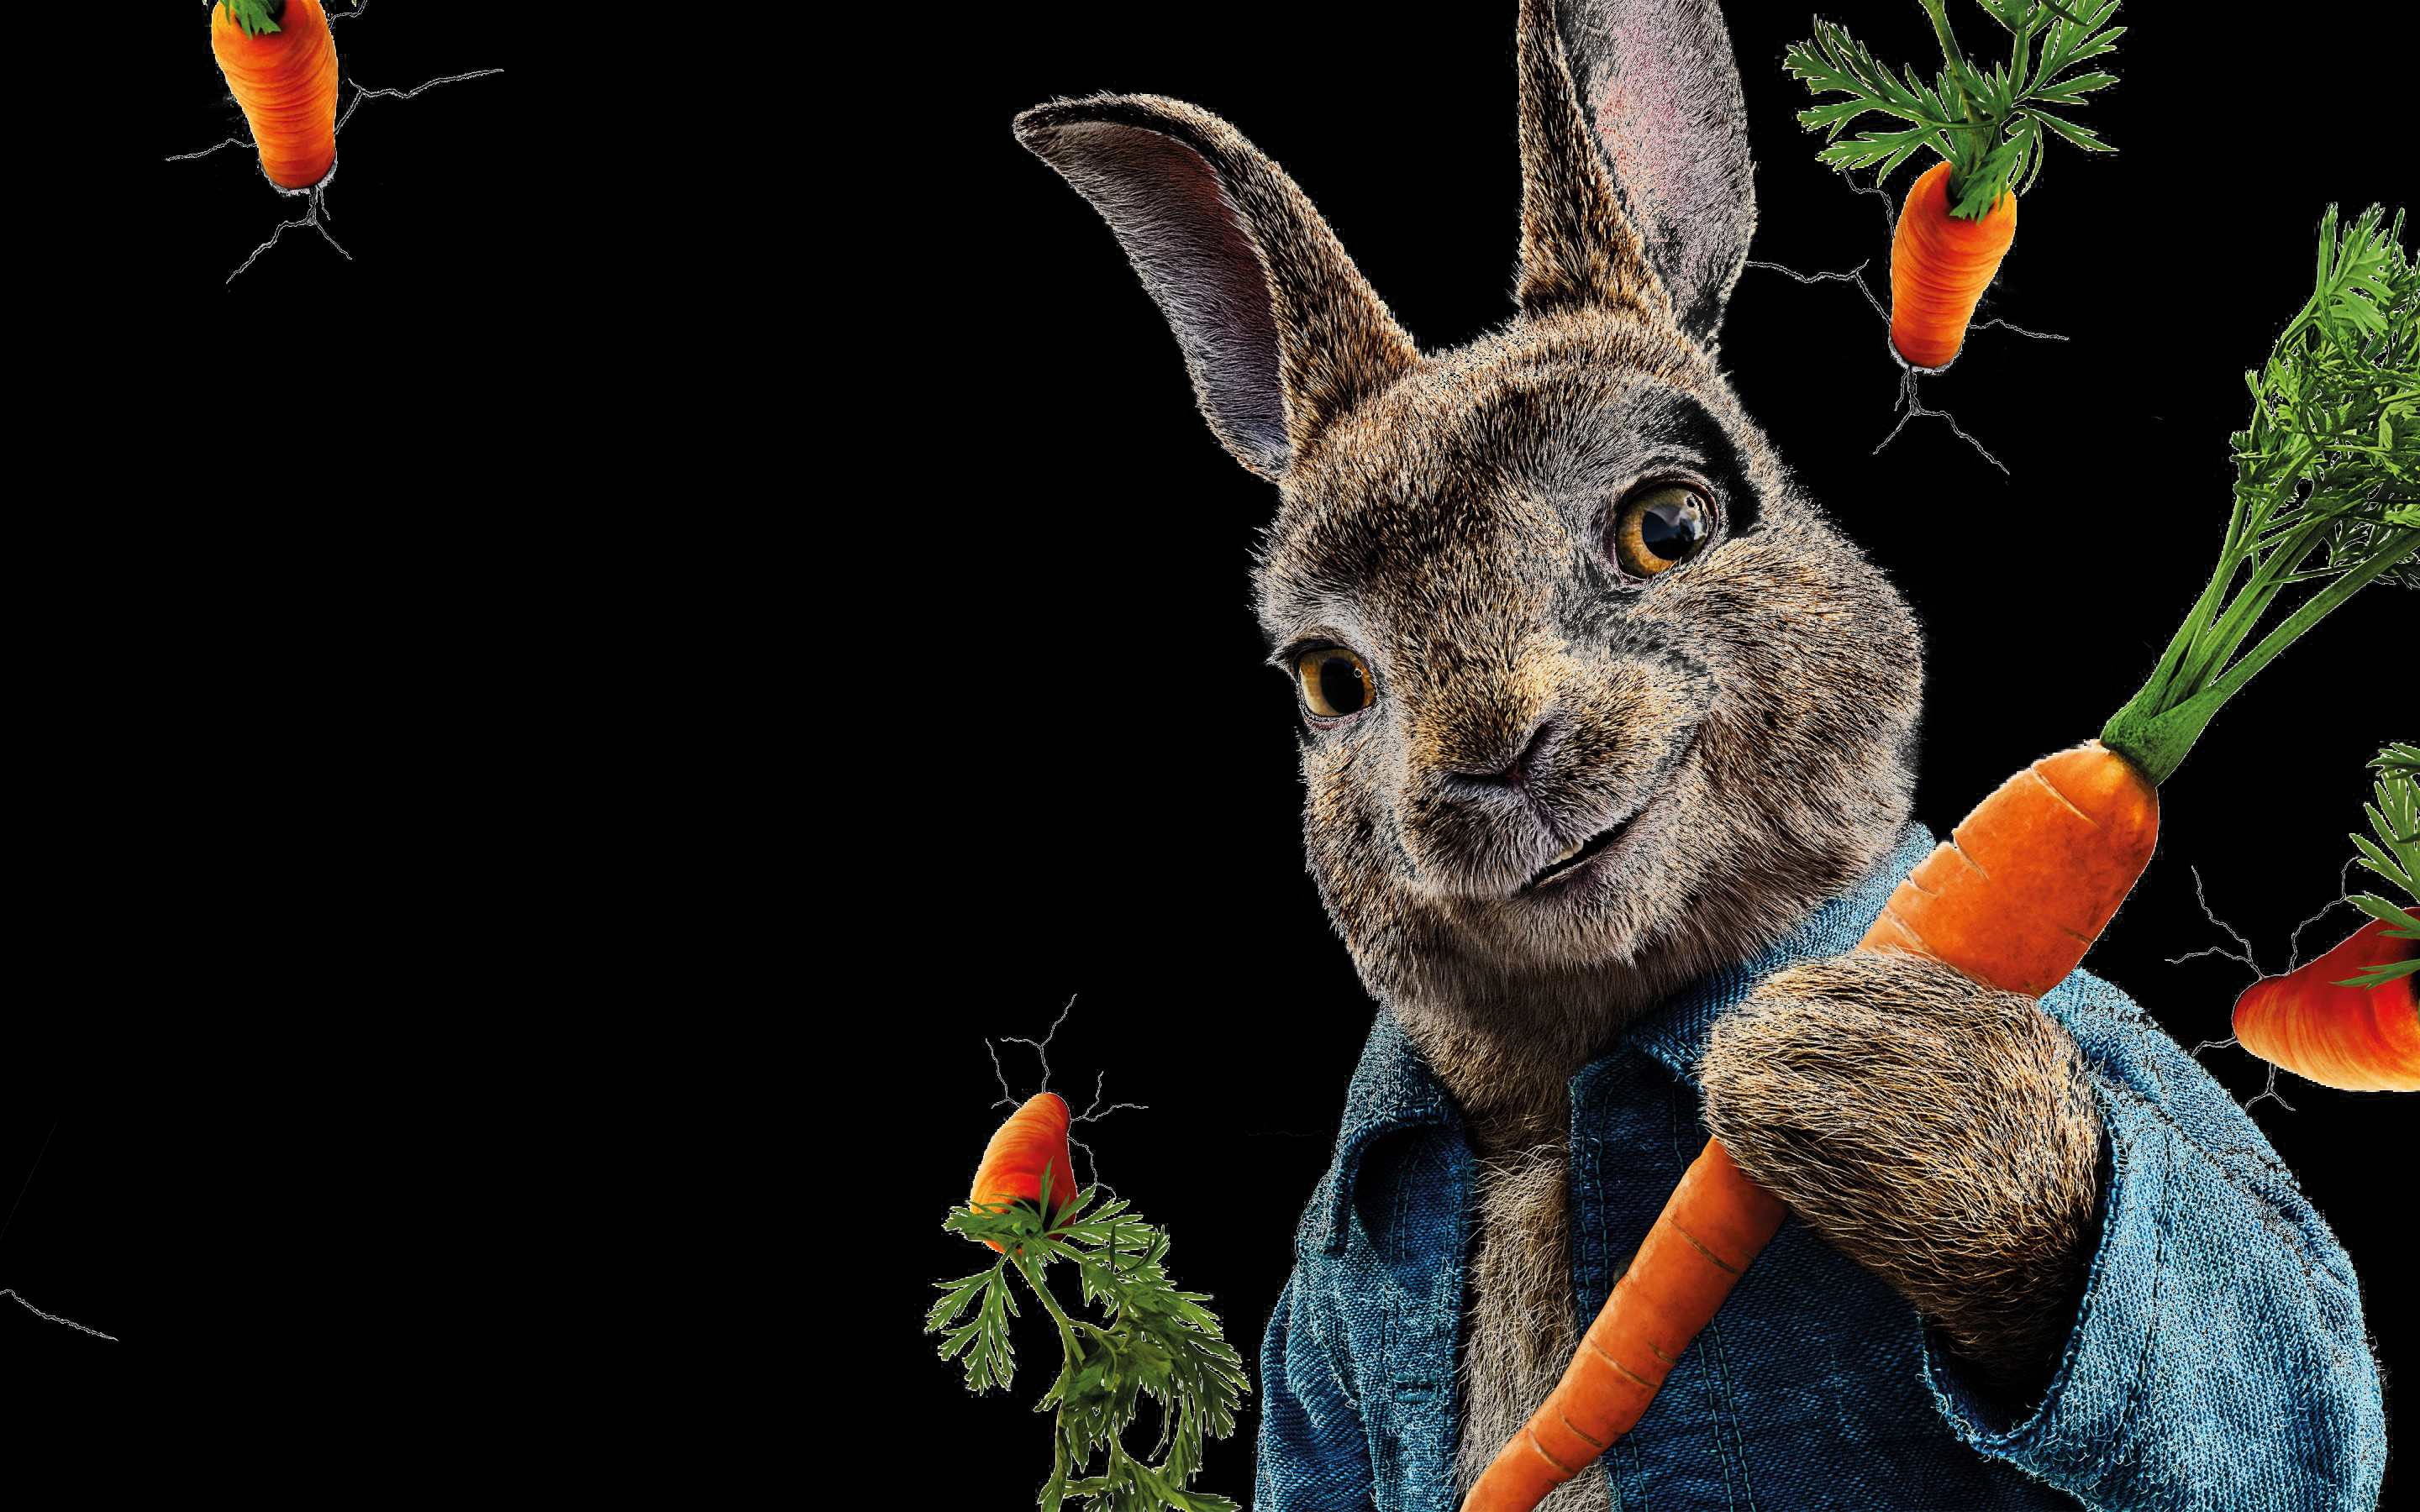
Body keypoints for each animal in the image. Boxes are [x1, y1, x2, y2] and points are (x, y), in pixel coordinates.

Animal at [1013, 2, 2383, 1508]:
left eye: (1671, 525)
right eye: (1329, 680)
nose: (1496, 756)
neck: (1558, 1102)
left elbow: (2295, 1363)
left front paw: (1866, 1088)